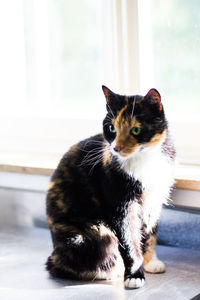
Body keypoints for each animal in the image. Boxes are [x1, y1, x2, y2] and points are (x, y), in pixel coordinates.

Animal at [45, 86, 175, 288]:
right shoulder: (120, 203)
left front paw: (150, 262)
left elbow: (150, 234)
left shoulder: (154, 201)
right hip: (91, 233)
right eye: (112, 128)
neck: (144, 159)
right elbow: (129, 239)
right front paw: (134, 275)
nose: (116, 148)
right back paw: (113, 270)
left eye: (136, 130)